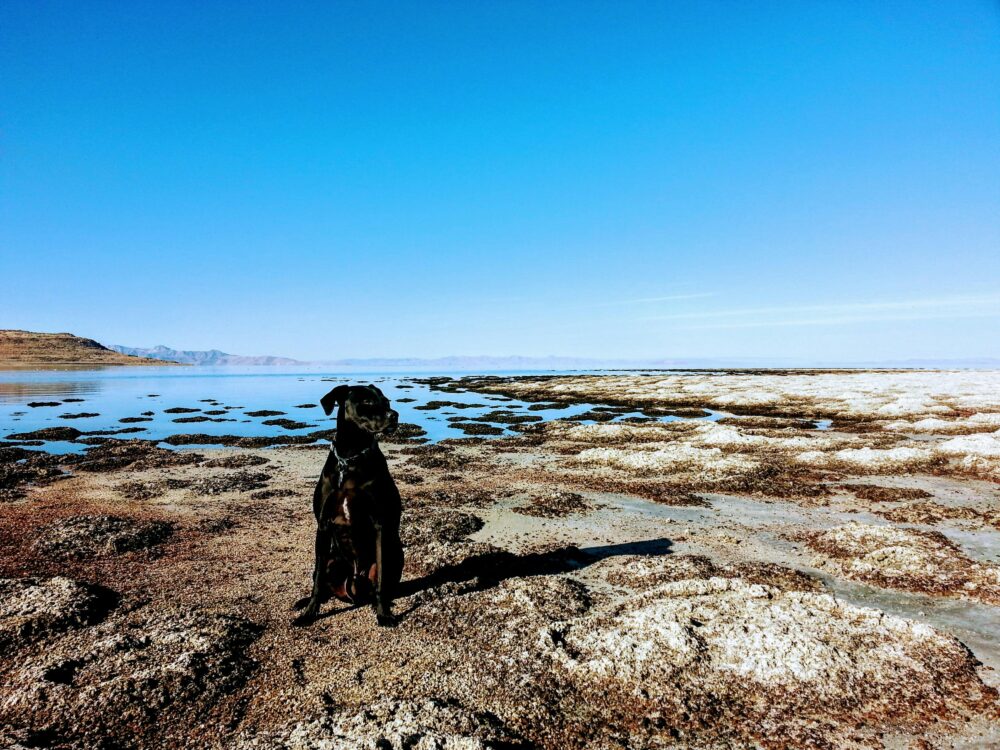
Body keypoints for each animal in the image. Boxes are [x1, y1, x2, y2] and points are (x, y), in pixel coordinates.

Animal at [294, 382, 404, 628]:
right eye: (367, 402)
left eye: (387, 401)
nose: (394, 415)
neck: (351, 458)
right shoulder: (323, 525)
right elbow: (317, 582)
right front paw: (309, 613)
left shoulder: (379, 524)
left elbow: (381, 581)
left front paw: (383, 614)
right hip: (331, 559)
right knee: (322, 580)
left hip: (395, 553)